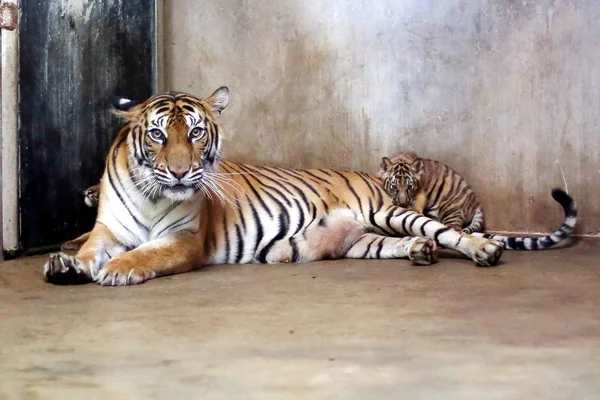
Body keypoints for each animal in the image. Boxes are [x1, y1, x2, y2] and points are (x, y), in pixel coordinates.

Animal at [41, 89, 564, 286]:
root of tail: (373, 174)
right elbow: (89, 247)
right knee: (402, 243)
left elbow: (148, 253)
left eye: (195, 132)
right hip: (363, 241)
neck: (153, 195)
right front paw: (67, 263)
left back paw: (482, 251)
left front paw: (120, 269)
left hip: (391, 210)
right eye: (156, 135)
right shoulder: (108, 231)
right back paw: (419, 252)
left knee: (449, 231)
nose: (180, 173)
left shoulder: (185, 240)